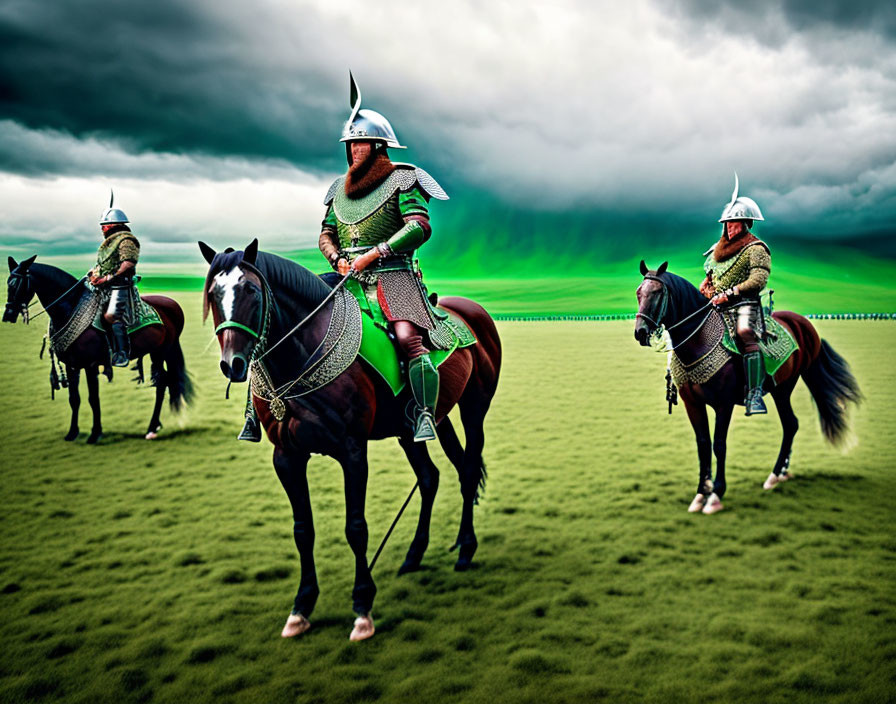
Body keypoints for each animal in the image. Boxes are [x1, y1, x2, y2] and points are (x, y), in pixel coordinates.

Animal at [3, 256, 192, 442]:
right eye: (7, 283)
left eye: (16, 284)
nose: (7, 315)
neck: (70, 307)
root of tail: (174, 305)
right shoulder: (71, 365)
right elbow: (74, 399)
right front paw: (72, 433)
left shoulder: (90, 365)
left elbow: (93, 398)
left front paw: (95, 433)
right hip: (158, 352)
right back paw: (155, 425)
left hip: (162, 351)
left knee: (161, 384)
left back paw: (151, 428)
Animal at [198, 242, 504, 644]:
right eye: (213, 294)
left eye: (250, 289)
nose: (232, 364)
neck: (301, 352)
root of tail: (473, 311)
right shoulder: (287, 456)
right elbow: (303, 530)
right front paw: (301, 606)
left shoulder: (352, 451)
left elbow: (356, 528)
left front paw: (362, 607)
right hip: (416, 426)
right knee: (430, 477)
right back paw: (414, 555)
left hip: (474, 407)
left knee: (466, 471)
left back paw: (465, 550)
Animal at [632, 262, 864, 516]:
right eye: (638, 293)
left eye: (657, 293)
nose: (640, 332)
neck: (699, 341)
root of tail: (804, 325)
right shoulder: (692, 403)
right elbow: (703, 445)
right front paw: (701, 494)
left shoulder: (723, 404)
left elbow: (719, 445)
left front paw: (715, 495)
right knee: (791, 424)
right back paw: (781, 473)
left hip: (784, 386)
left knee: (790, 424)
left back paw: (774, 475)